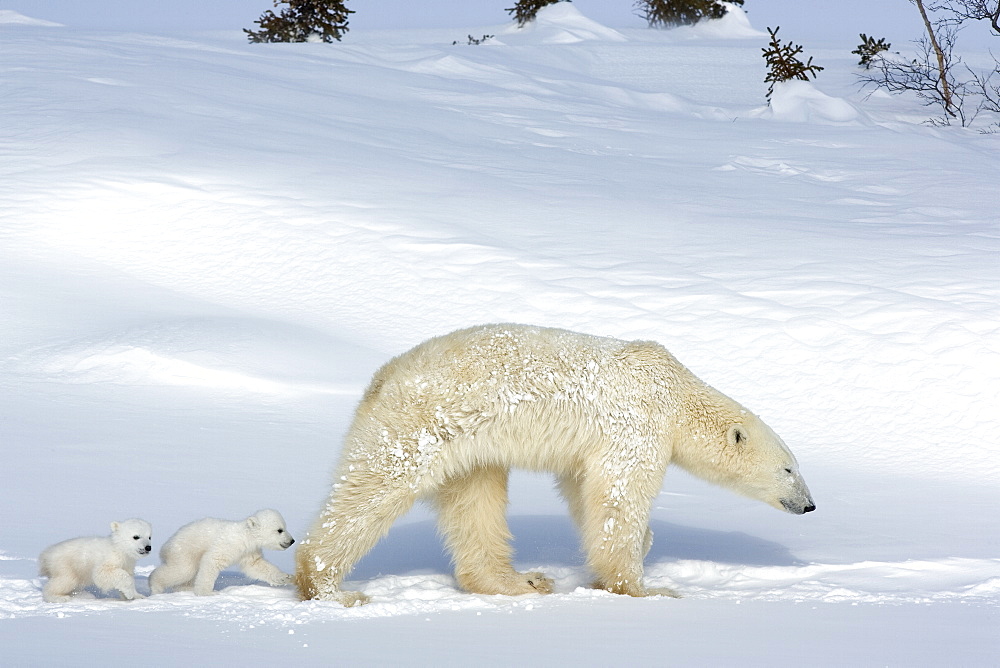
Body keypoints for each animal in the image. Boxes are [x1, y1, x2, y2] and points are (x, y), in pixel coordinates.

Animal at [294, 324, 812, 604]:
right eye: (790, 468)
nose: (809, 505)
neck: (676, 392)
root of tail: (381, 379)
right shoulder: (636, 423)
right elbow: (619, 497)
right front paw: (646, 588)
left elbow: (586, 494)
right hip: (418, 426)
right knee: (373, 491)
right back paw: (330, 586)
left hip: (471, 447)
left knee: (476, 501)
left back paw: (522, 580)